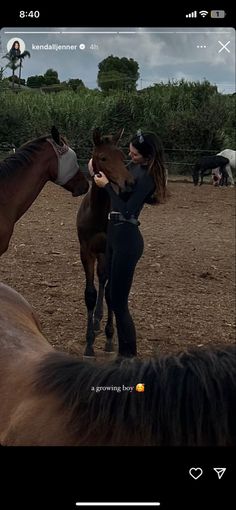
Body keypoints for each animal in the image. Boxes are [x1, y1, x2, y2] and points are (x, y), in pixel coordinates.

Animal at [76, 127, 134, 358]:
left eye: (123, 156)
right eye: (103, 157)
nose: (129, 183)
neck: (98, 213)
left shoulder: (110, 251)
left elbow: (110, 293)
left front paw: (109, 338)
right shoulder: (86, 251)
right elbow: (90, 294)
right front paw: (89, 343)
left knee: (105, 280)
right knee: (101, 279)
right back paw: (96, 321)